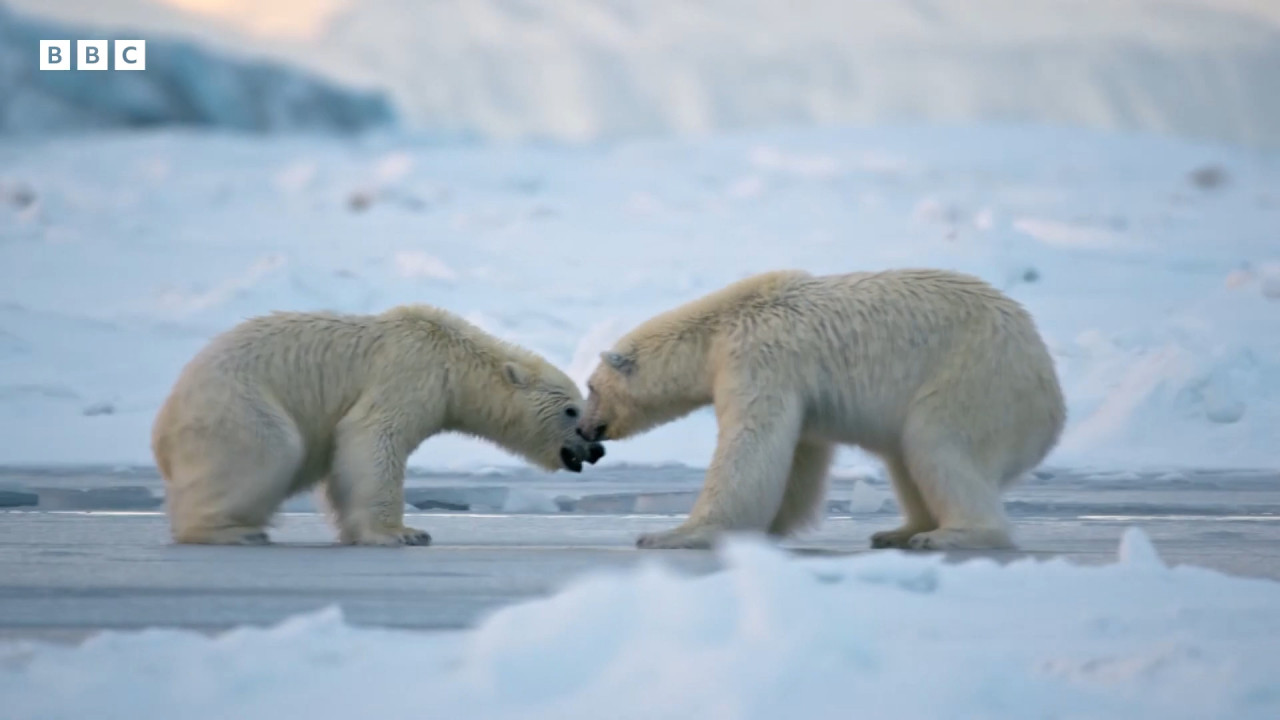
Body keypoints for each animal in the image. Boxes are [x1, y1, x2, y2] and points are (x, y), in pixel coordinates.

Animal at [151, 305, 604, 546]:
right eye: (571, 411)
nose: (595, 447)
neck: (451, 358)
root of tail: (163, 426)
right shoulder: (410, 375)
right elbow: (372, 438)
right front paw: (404, 533)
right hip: (241, 407)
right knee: (270, 449)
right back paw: (232, 530)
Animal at [577, 268, 1065, 551]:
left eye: (590, 387)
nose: (584, 431)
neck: (719, 327)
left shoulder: (759, 358)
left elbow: (749, 445)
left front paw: (670, 534)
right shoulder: (797, 392)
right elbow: (797, 458)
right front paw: (770, 526)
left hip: (975, 380)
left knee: (937, 444)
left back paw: (948, 534)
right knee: (906, 456)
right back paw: (898, 530)